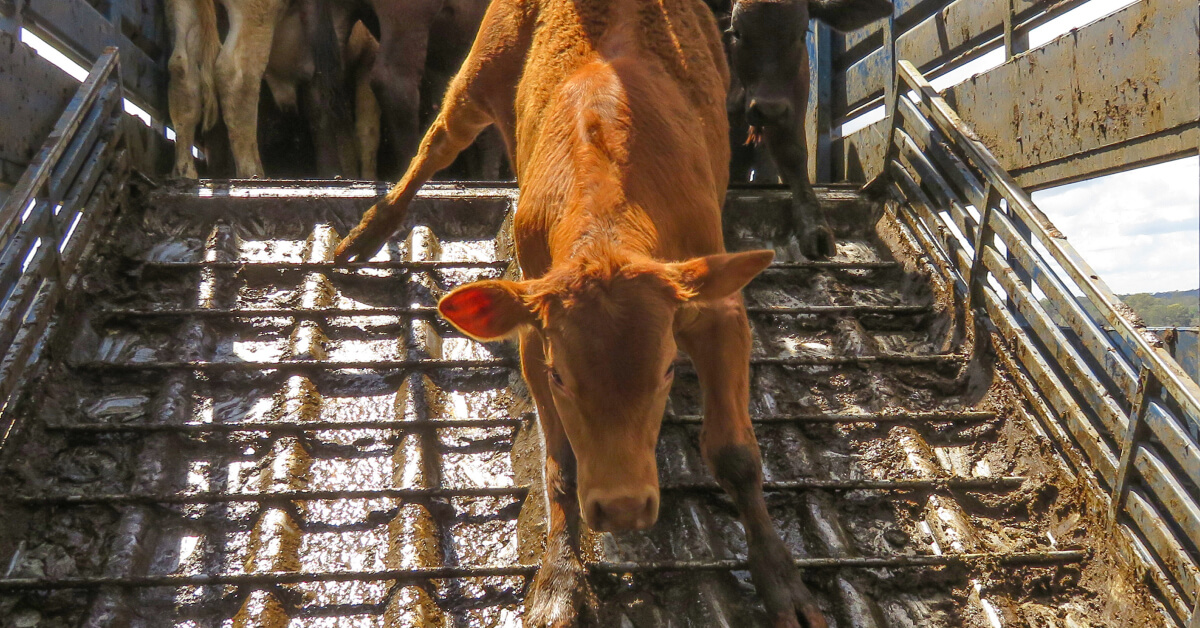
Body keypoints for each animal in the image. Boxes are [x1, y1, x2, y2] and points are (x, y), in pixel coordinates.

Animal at [336, 1, 825, 628]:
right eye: (562, 377)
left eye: (668, 370)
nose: (622, 508)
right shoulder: (533, 335)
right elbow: (561, 467)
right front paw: (561, 578)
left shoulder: (717, 308)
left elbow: (736, 455)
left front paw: (782, 581)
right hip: (479, 70)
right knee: (438, 140)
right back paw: (367, 234)